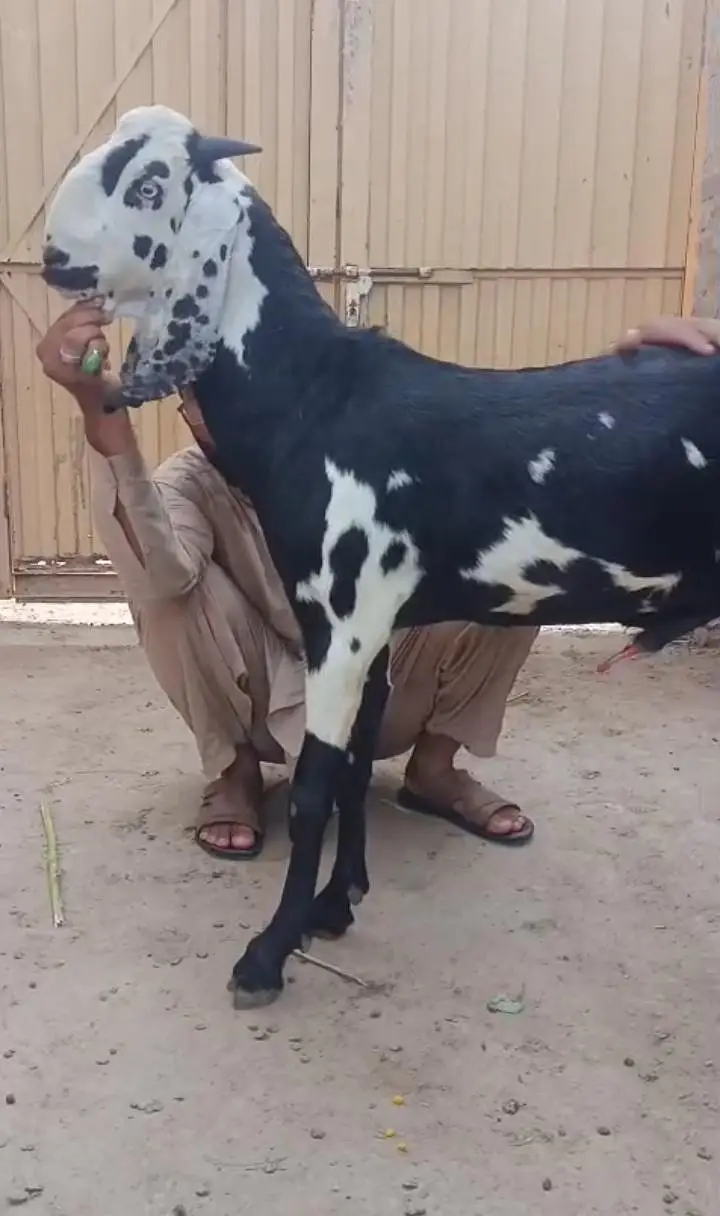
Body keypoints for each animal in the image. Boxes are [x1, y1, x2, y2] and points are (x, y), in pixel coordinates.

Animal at [42, 105, 720, 1008]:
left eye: (150, 184)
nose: (50, 257)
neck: (317, 399)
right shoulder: (377, 631)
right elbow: (359, 769)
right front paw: (337, 904)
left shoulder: (342, 621)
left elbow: (315, 792)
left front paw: (268, 953)